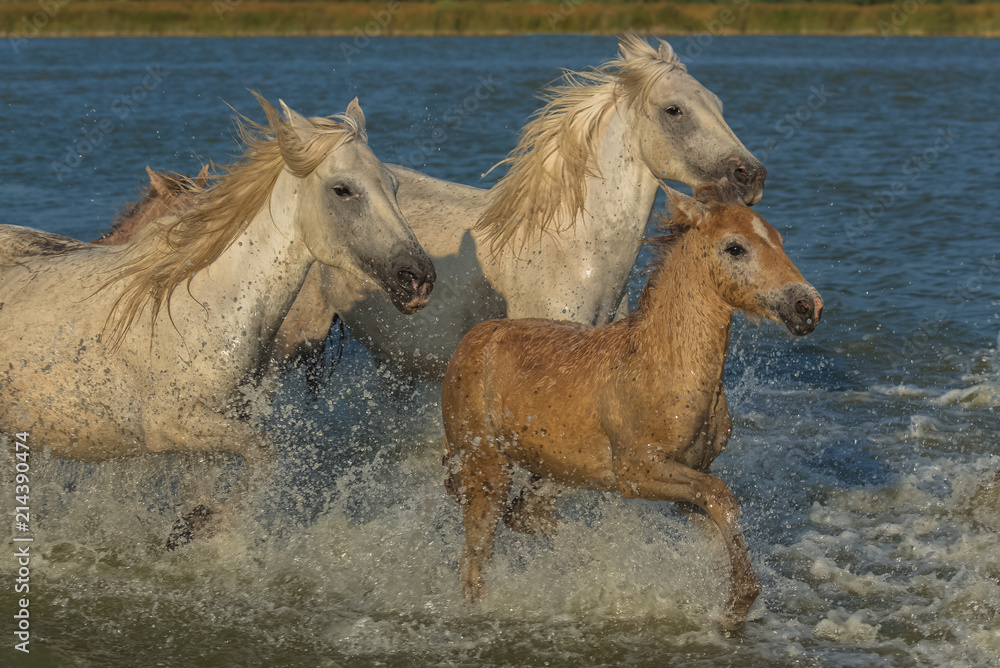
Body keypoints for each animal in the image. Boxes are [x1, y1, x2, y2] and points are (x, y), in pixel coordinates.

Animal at [0, 93, 435, 547]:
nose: (419, 278)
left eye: (394, 186)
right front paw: (209, 523)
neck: (203, 310)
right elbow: (264, 454)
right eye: (343, 189)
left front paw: (190, 529)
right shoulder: (171, 427)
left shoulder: (207, 445)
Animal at [441, 183, 823, 631]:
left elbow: (715, 513)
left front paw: (729, 603)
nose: (807, 306)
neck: (664, 365)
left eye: (778, 239)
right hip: (486, 467)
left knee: (523, 515)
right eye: (735, 247)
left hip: (557, 470)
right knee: (475, 561)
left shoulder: (689, 475)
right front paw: (737, 601)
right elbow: (722, 496)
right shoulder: (638, 472)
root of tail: (469, 344)